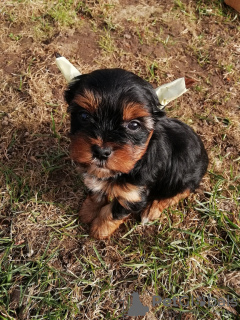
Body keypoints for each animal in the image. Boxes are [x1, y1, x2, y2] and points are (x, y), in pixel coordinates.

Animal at [64, 70, 208, 240]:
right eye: (84, 116)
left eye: (134, 125)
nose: (101, 152)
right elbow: (96, 193)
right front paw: (87, 211)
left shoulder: (134, 195)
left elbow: (113, 212)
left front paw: (99, 229)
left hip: (185, 179)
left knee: (175, 195)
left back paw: (152, 211)